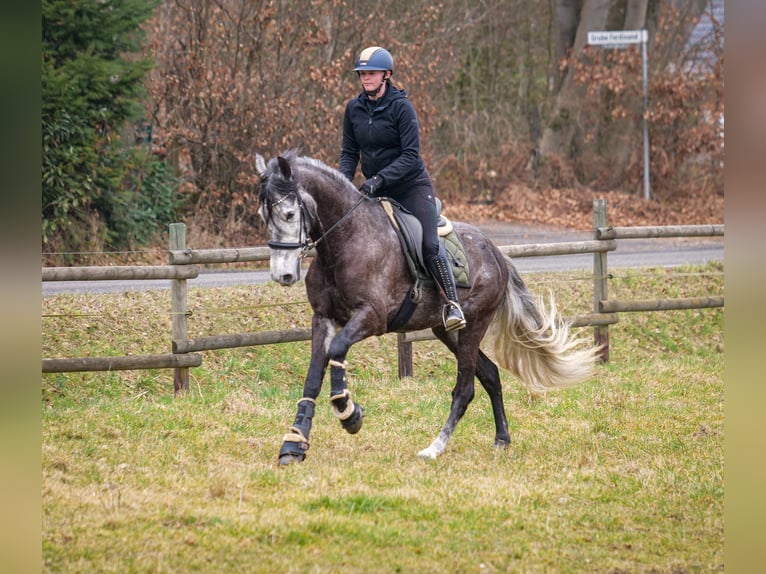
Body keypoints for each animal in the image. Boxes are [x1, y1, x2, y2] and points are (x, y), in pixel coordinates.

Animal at [255, 151, 604, 466]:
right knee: (490, 374)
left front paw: (349, 413)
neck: (345, 241)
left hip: (474, 324)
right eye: (263, 216)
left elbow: (337, 350)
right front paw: (294, 444)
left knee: (465, 389)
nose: (282, 275)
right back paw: (501, 439)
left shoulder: (371, 317)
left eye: (289, 214)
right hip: (446, 331)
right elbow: (314, 376)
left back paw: (434, 448)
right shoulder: (323, 318)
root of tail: (496, 252)